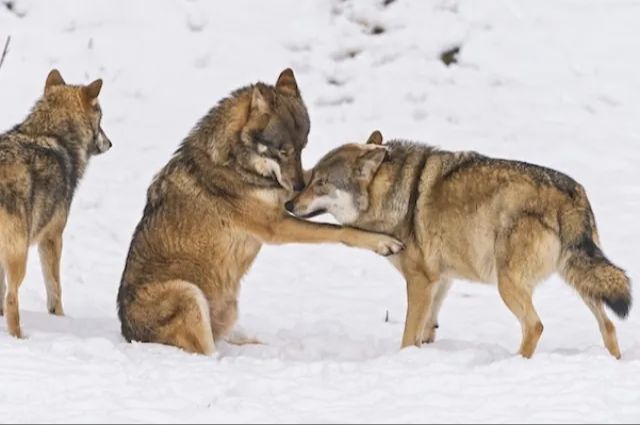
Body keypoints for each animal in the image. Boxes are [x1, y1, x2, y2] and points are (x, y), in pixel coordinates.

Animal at [0, 69, 112, 338]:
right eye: (101, 119)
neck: (50, 134)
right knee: (12, 298)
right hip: (19, 255)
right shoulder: (52, 237)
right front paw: (60, 319)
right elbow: (55, 288)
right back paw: (20, 337)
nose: (110, 143)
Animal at [117, 69, 402, 354]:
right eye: (283, 151)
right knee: (209, 353)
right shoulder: (276, 226)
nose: (298, 188)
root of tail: (128, 333)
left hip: (227, 308)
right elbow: (337, 231)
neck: (235, 164)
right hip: (189, 294)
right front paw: (382, 242)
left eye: (302, 148)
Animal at [288, 132, 632, 358]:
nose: (289, 204)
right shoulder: (441, 281)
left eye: (321, 183)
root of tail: (572, 195)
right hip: (580, 280)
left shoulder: (420, 281)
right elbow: (426, 330)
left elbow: (408, 335)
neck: (395, 194)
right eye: (310, 178)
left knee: (535, 326)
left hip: (508, 284)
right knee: (608, 326)